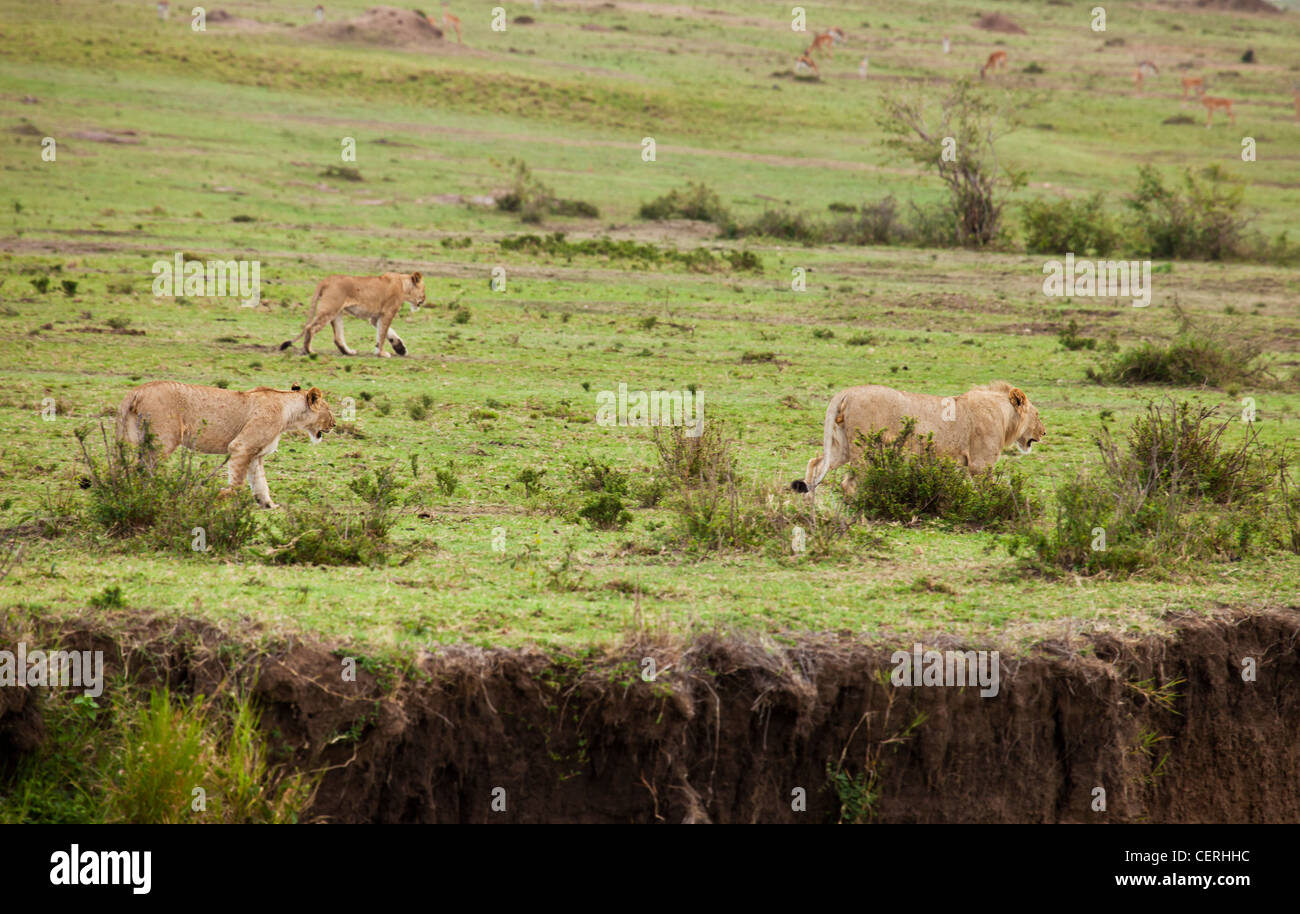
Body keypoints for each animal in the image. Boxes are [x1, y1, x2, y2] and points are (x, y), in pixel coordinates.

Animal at [115, 381, 335, 509]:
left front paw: (269, 505)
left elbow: (260, 483)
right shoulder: (241, 446)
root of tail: (137, 390)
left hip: (133, 437)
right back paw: (155, 493)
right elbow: (238, 484)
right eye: (329, 410)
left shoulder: (255, 455)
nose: (334, 424)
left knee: (131, 468)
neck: (288, 412)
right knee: (146, 469)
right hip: (165, 439)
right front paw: (221, 496)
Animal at [280, 271, 426, 358]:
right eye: (423, 290)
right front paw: (382, 353)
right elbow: (383, 334)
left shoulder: (375, 317)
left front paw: (400, 349)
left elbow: (387, 332)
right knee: (310, 327)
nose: (424, 300)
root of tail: (326, 280)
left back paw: (348, 352)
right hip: (330, 309)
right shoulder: (388, 313)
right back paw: (309, 351)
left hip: (337, 313)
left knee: (337, 338)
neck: (403, 284)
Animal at [791, 381, 1045, 497]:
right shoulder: (980, 465)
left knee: (816, 464)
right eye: (1038, 415)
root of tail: (848, 391)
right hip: (864, 448)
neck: (1005, 417)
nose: (1044, 432)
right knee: (850, 483)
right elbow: (990, 491)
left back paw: (808, 506)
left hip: (842, 446)